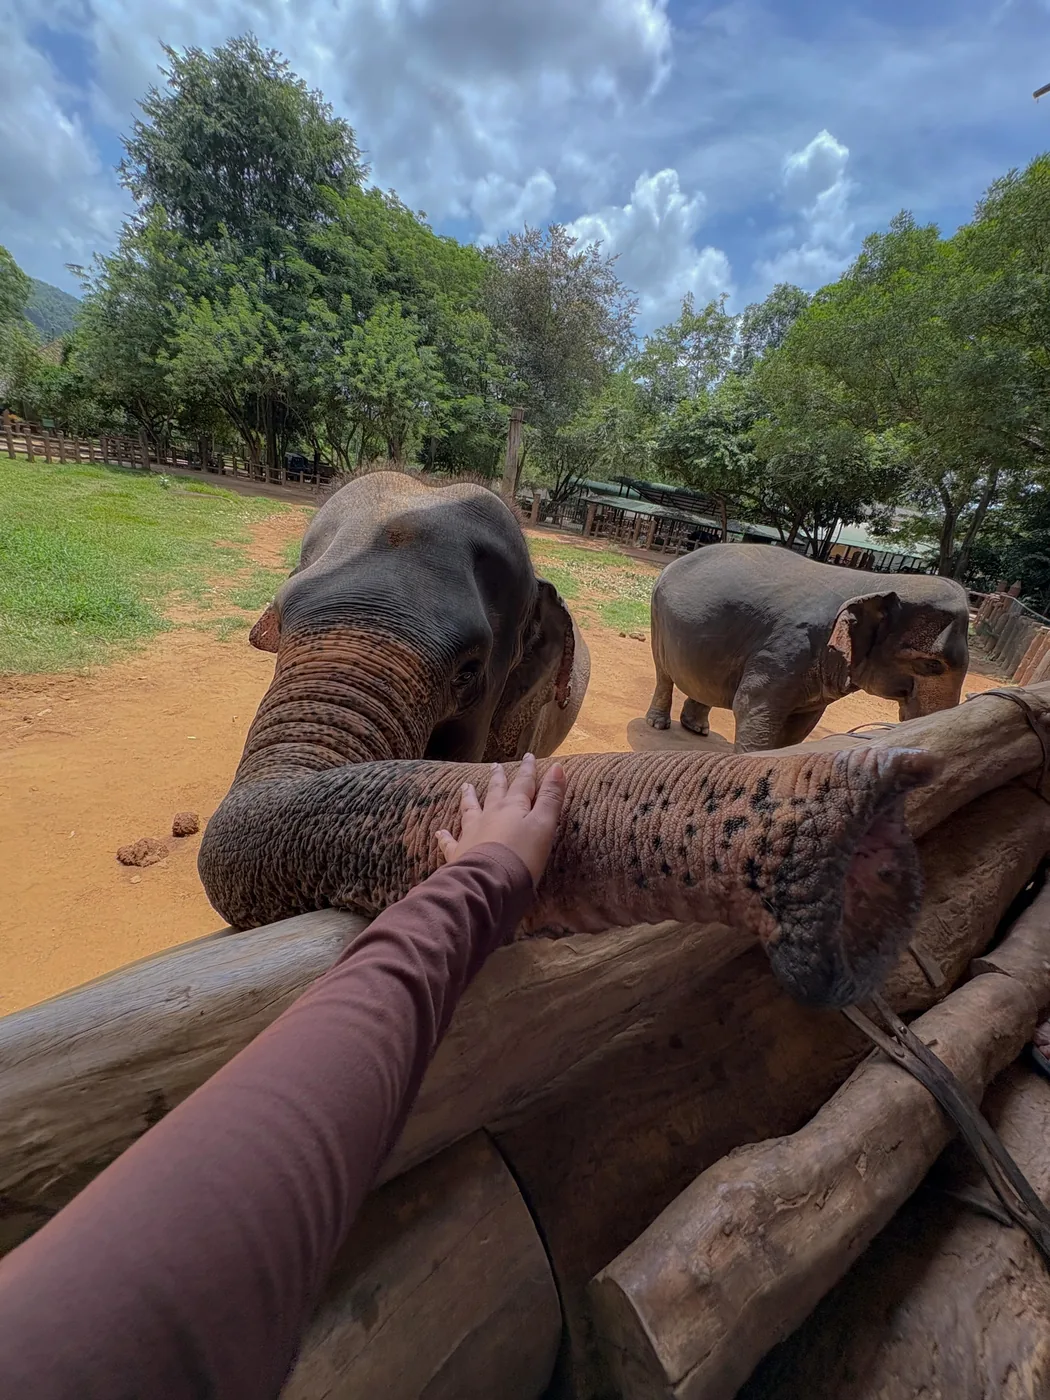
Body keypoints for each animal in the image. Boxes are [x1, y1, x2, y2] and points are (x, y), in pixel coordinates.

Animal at [645, 544, 970, 753]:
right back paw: (657, 724)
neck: (875, 582)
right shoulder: (786, 648)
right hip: (657, 616)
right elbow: (750, 707)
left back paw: (697, 728)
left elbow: (802, 724)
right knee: (663, 672)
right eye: (932, 665)